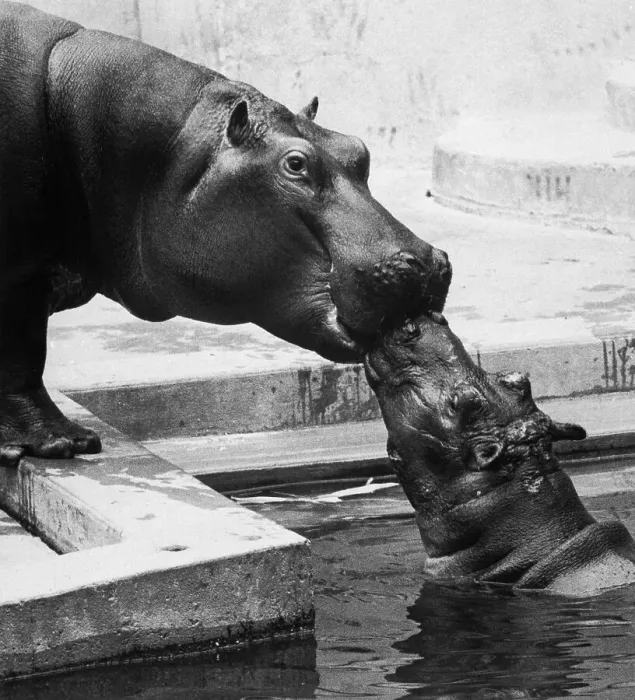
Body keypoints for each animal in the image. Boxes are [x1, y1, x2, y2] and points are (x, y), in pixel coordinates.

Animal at [0, 2, 451, 467]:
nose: (428, 261)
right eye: (295, 164)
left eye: (357, 148)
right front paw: (63, 443)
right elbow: (21, 352)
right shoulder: (20, 273)